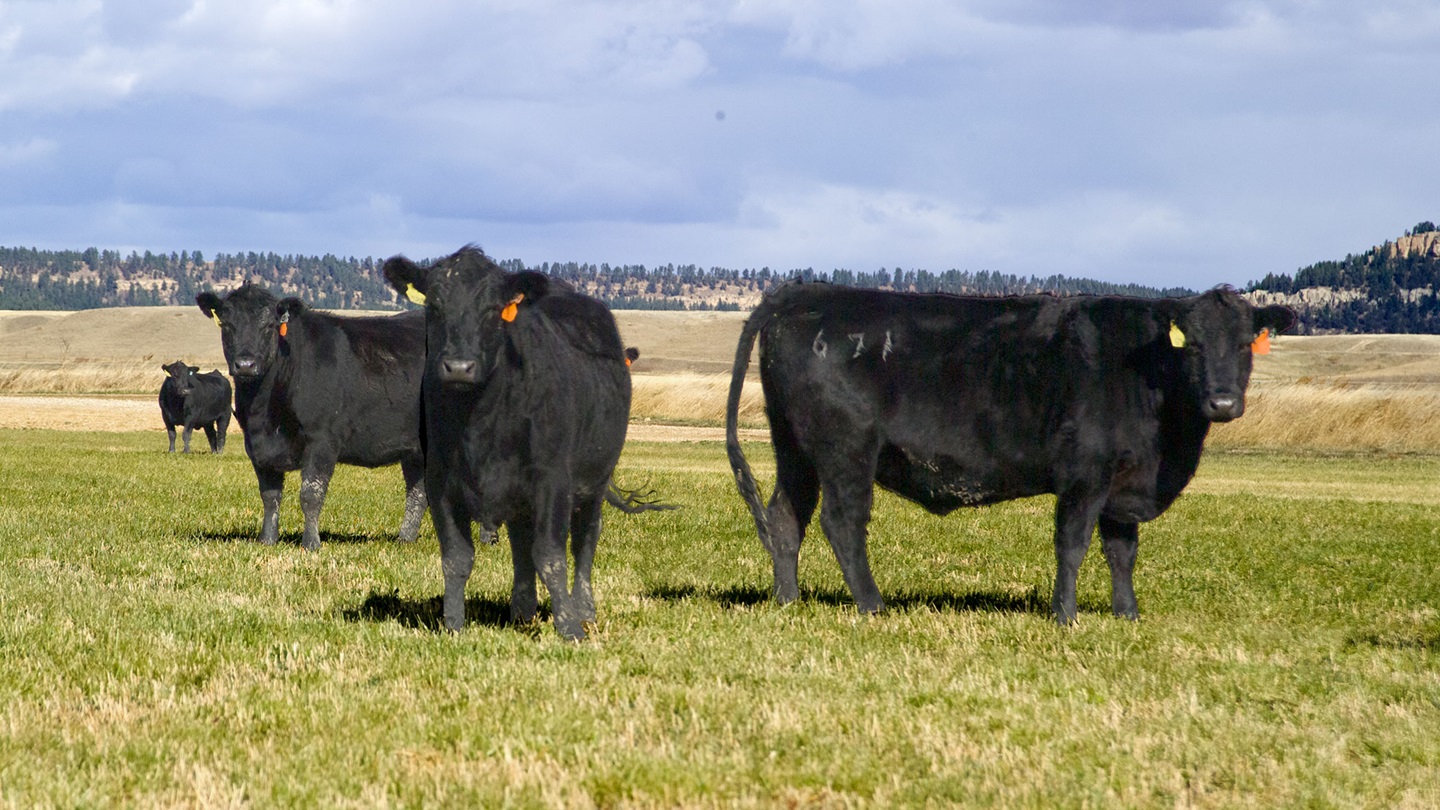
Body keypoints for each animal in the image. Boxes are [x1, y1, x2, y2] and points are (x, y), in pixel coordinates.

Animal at [195, 285, 428, 551]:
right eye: (226, 324)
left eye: (269, 325)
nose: (245, 364)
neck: (265, 414)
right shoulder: (256, 445)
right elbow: (270, 496)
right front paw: (267, 540)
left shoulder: (322, 440)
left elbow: (311, 494)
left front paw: (311, 543)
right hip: (415, 451)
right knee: (418, 494)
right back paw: (405, 539)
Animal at [382, 246, 634, 641]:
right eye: (434, 306)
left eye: (492, 308)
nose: (459, 367)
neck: (478, 422)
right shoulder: (440, 481)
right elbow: (456, 558)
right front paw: (453, 625)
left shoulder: (552, 480)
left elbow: (551, 555)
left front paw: (569, 629)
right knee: (520, 541)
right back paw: (523, 610)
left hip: (595, 479)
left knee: (585, 540)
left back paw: (584, 610)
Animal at [725, 282, 1295, 625]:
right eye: (1193, 345)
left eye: (1245, 344)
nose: (1223, 402)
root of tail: (803, 290)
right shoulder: (1086, 473)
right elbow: (1073, 544)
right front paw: (1065, 616)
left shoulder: (1123, 481)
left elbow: (1122, 551)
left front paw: (1127, 614)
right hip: (847, 451)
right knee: (842, 523)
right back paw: (872, 605)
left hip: (794, 450)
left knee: (785, 517)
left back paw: (788, 599)